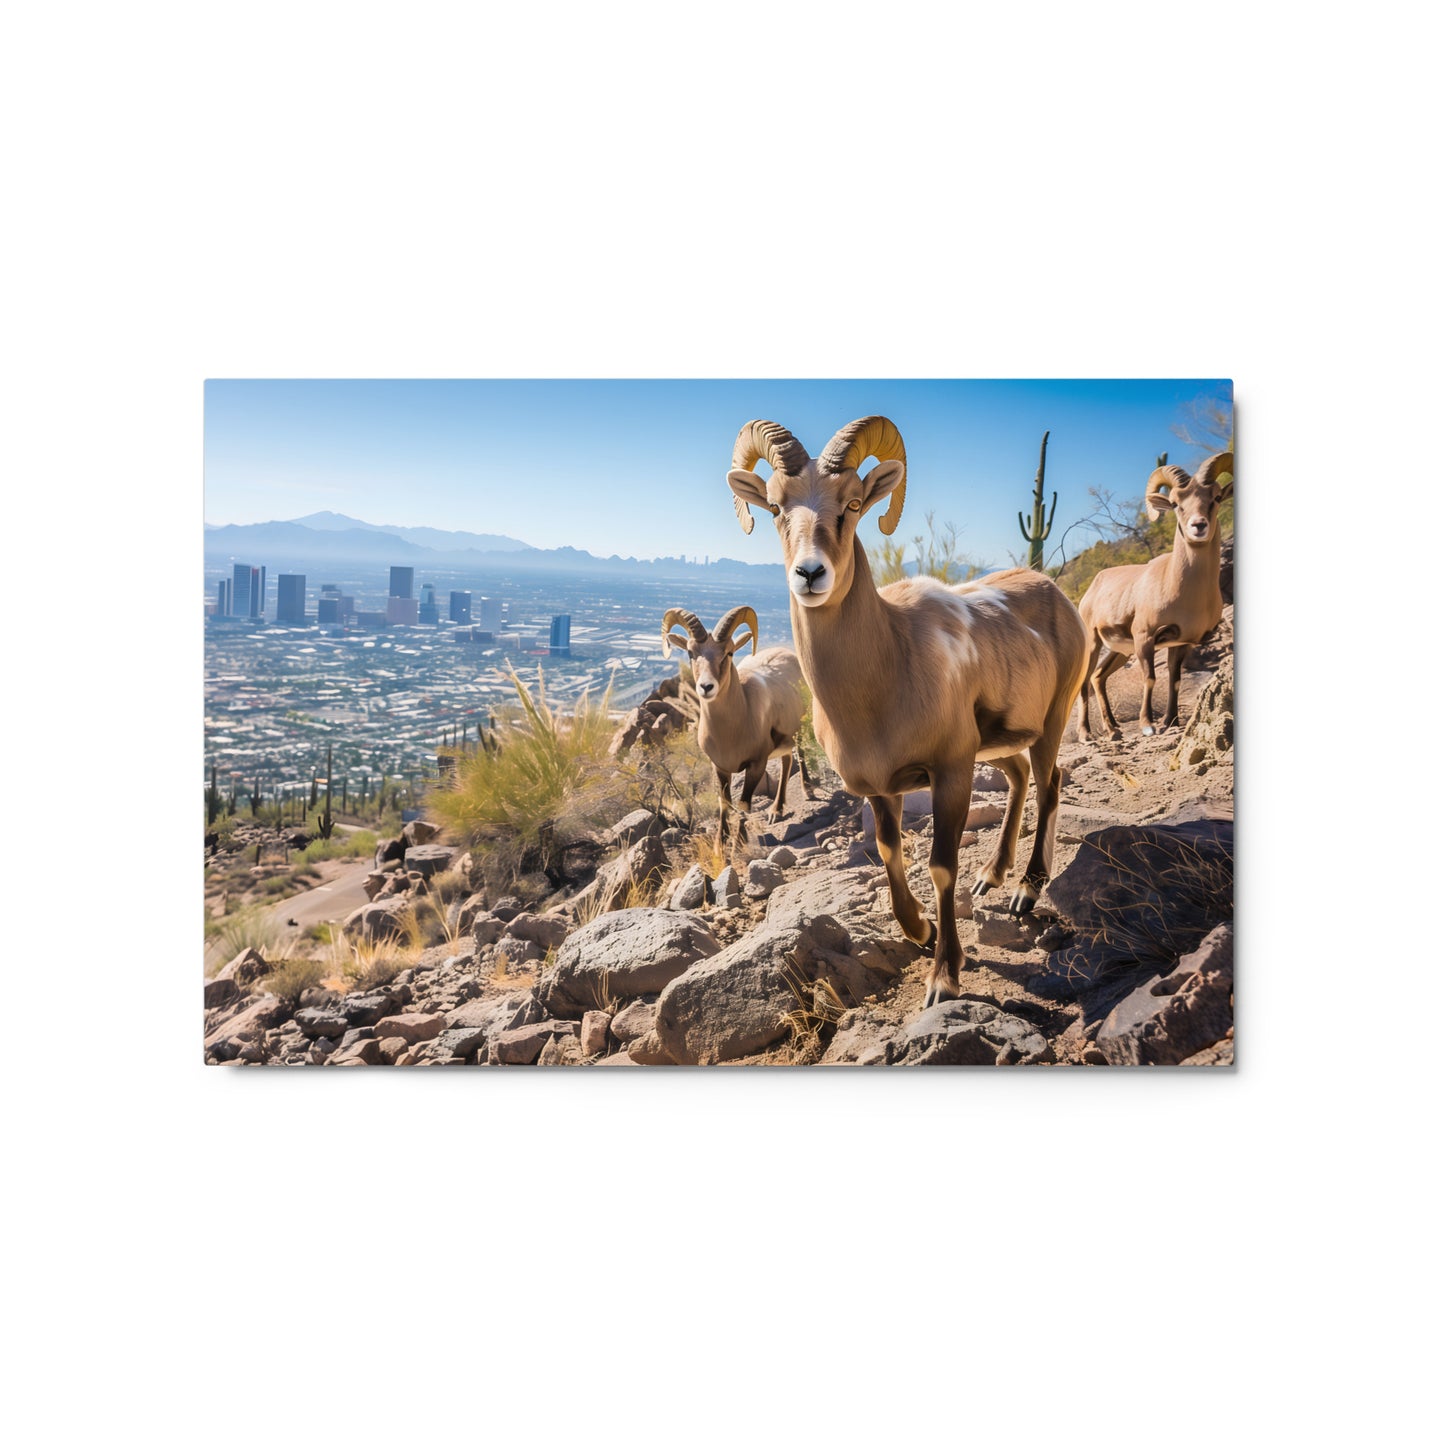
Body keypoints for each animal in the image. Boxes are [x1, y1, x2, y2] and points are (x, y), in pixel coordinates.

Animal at [660, 605, 815, 848]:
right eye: (691, 653)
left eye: (729, 653)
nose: (706, 687)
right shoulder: (720, 768)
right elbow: (724, 804)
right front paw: (720, 845)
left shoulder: (756, 765)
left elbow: (743, 805)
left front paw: (739, 842)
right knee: (787, 761)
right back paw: (776, 811)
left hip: (800, 730)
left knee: (799, 755)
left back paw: (807, 792)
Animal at [726, 417, 1089, 1009]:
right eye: (777, 507)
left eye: (852, 504)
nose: (810, 574)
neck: (886, 675)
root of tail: (1057, 596)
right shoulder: (881, 790)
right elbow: (889, 853)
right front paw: (920, 930)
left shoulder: (950, 773)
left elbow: (940, 867)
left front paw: (943, 978)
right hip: (999, 746)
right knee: (1018, 780)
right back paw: (991, 877)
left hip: (1050, 725)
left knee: (1049, 783)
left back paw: (1025, 892)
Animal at [1077, 452, 1234, 739]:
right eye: (1175, 503)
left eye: (1216, 497)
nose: (1198, 526)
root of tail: (1094, 586)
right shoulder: (1145, 638)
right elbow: (1149, 677)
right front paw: (1148, 726)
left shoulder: (1181, 643)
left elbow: (1175, 680)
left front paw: (1170, 721)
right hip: (1093, 642)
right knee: (1085, 680)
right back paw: (1086, 734)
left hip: (1120, 651)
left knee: (1098, 677)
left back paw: (1113, 729)